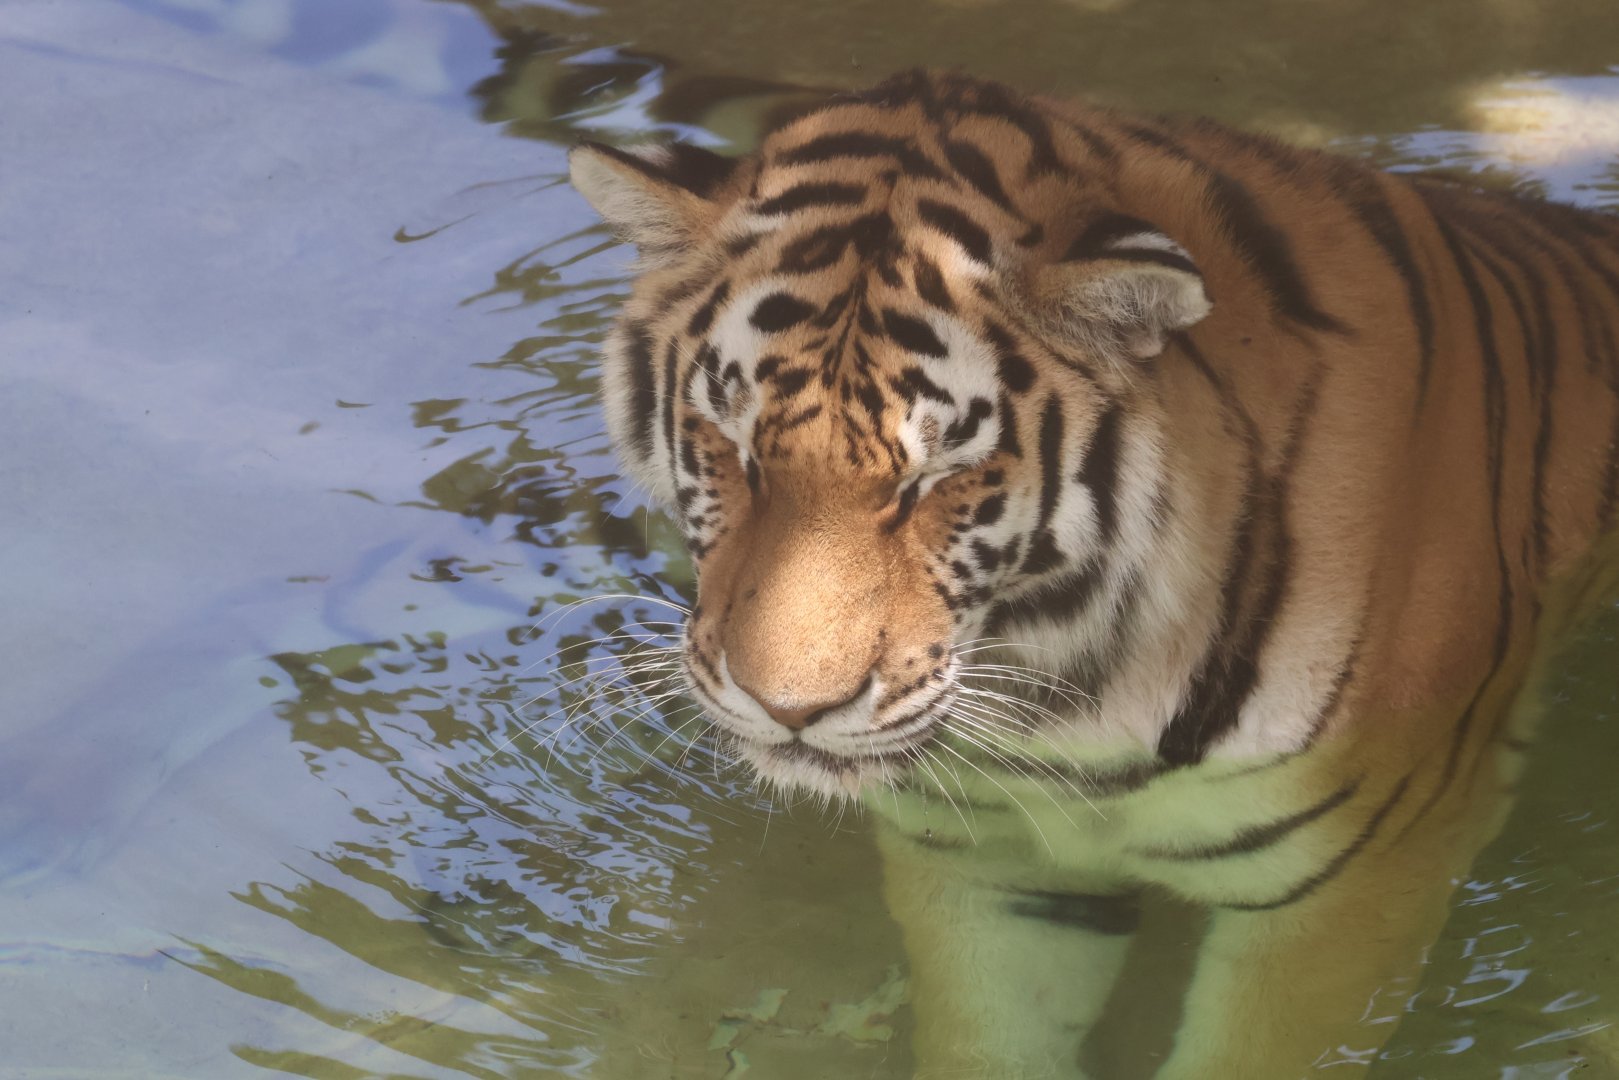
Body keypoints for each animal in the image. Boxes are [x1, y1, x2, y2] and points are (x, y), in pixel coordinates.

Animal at [566, 69, 1619, 1078]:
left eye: (938, 476)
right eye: (732, 447)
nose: (788, 711)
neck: (1072, 683)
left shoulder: (1348, 889)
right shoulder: (994, 860)